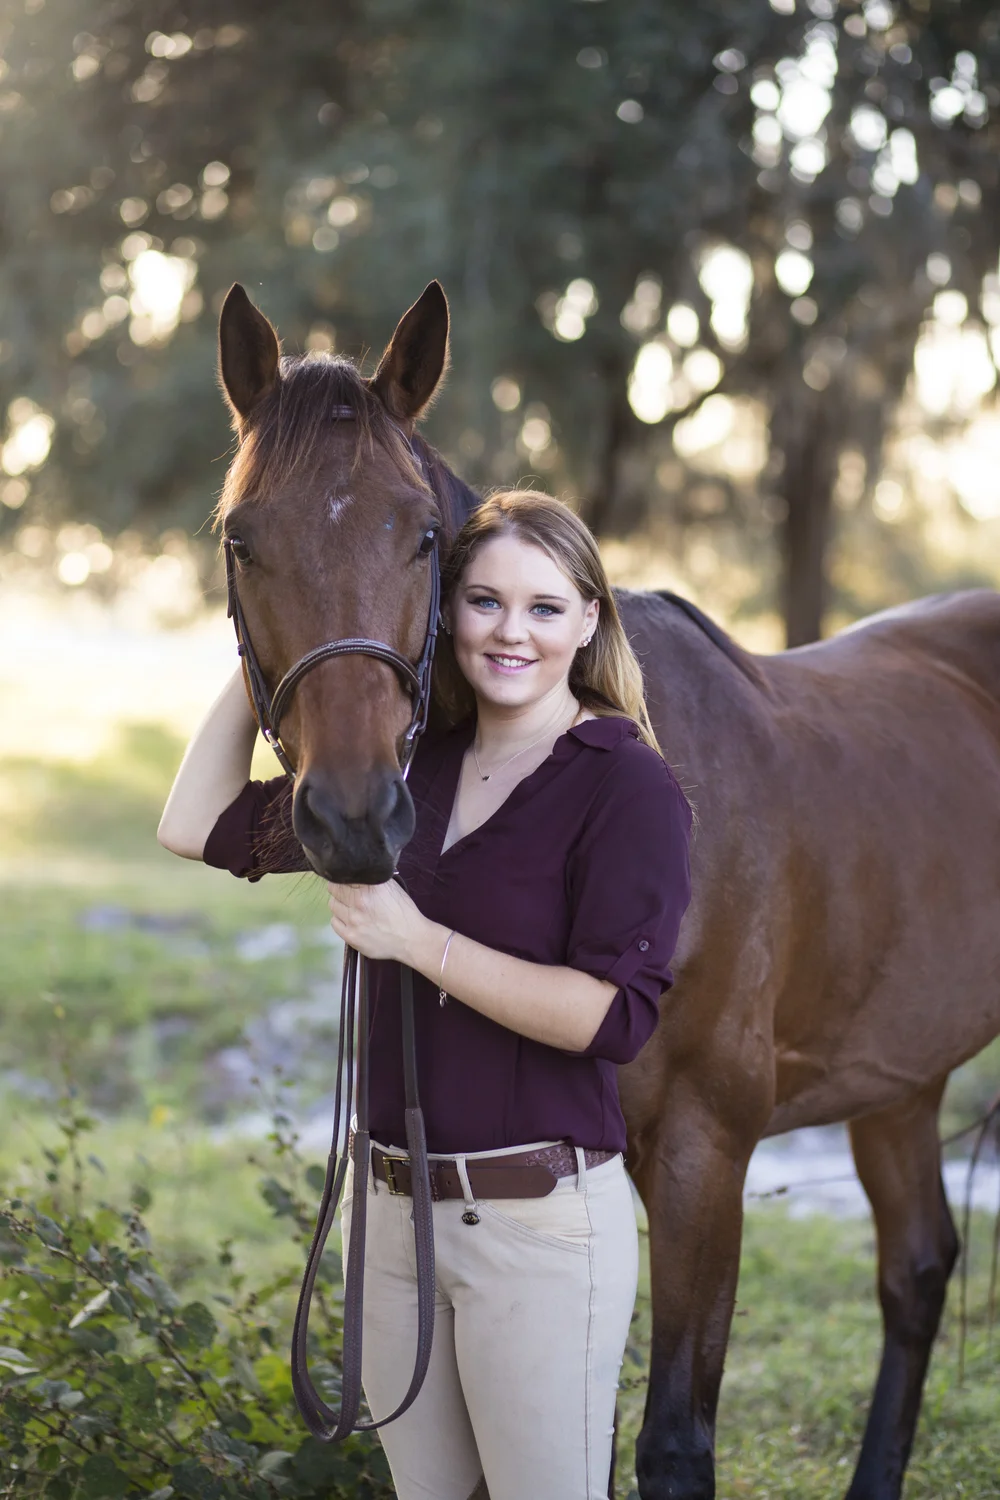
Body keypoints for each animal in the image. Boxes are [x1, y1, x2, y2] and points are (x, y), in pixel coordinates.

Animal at [215, 279, 1000, 1500]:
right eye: (241, 538)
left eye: (423, 535)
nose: (352, 818)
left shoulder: (702, 1149)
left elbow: (673, 1440)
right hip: (897, 1078)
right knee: (916, 1270)